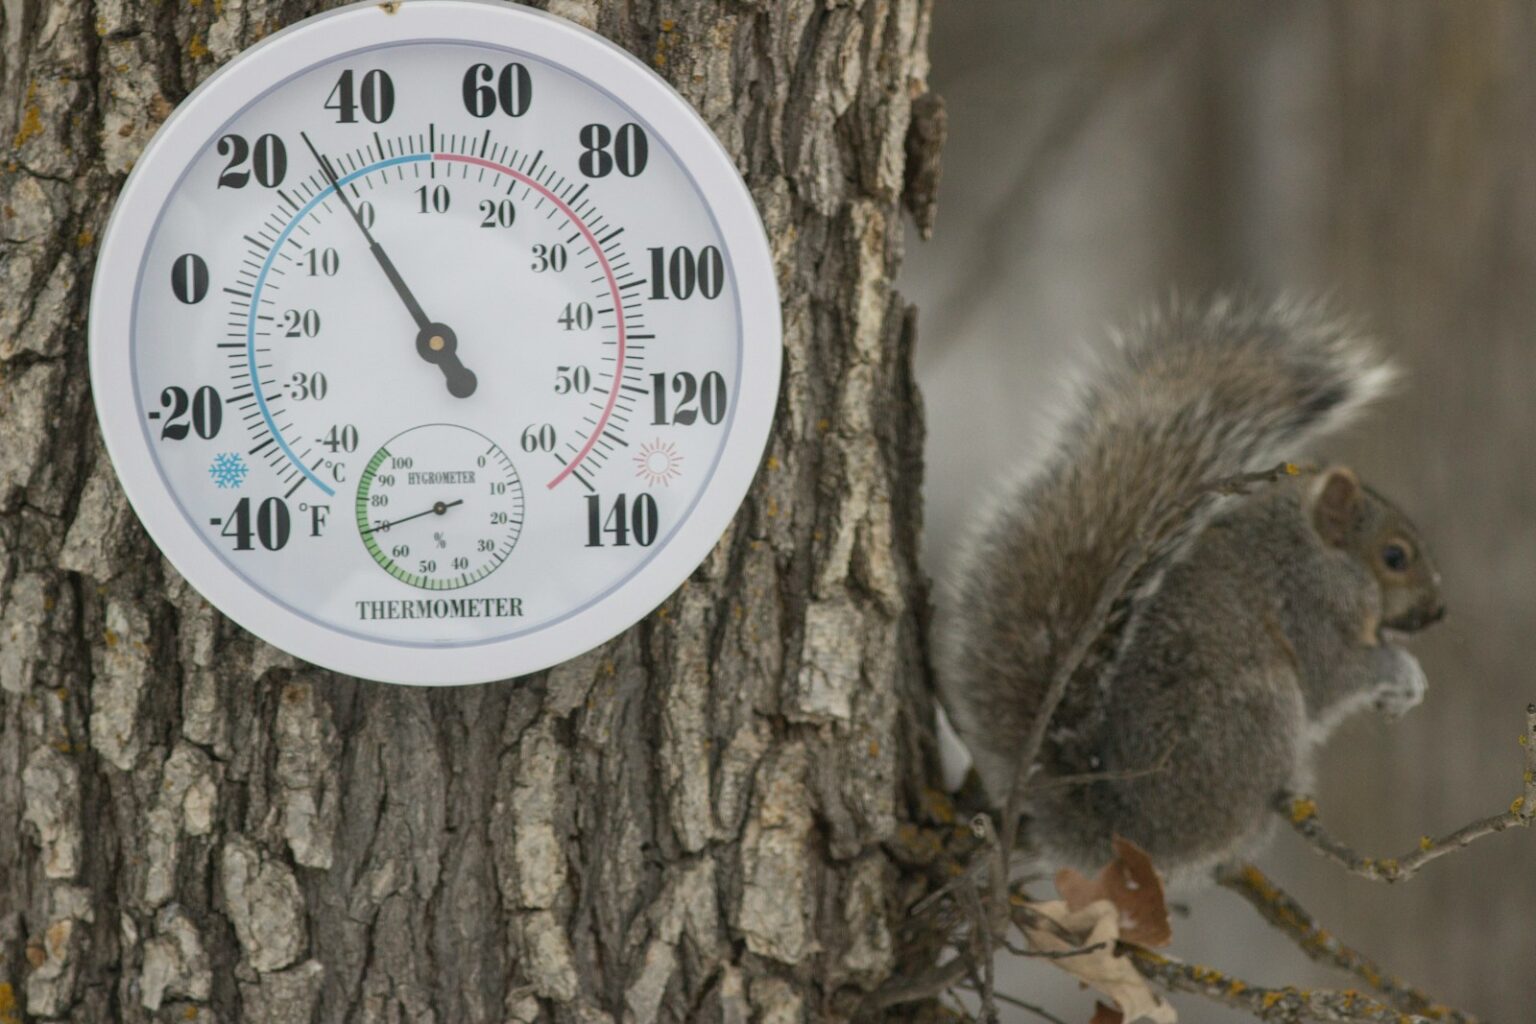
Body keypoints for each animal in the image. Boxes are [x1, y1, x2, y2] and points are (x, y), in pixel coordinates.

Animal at [934, 296, 1446, 886]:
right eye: (1395, 557)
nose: (1439, 610)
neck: (1313, 550)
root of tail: (1120, 829)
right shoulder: (1306, 608)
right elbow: (1334, 676)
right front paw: (1399, 672)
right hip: (1258, 714)